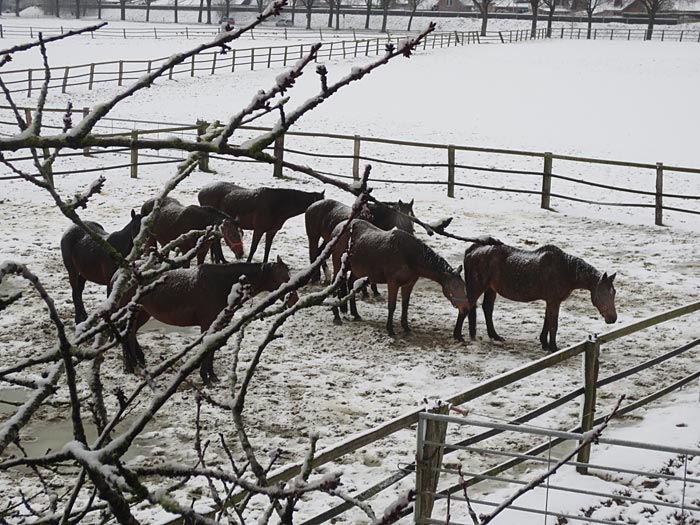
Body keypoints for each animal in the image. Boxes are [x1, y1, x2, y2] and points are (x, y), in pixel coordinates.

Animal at [122, 256, 298, 384]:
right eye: (284, 277)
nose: (295, 300)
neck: (222, 285)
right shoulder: (208, 324)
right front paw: (205, 378)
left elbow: (211, 350)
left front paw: (211, 376)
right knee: (127, 336)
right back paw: (132, 367)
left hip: (142, 313)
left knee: (131, 335)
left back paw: (135, 364)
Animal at [330, 219, 469, 336]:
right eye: (454, 287)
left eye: (463, 286)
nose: (465, 308)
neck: (407, 255)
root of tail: (338, 227)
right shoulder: (393, 283)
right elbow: (392, 306)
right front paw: (390, 330)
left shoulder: (409, 284)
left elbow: (405, 305)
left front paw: (406, 327)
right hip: (339, 265)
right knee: (334, 285)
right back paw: (336, 316)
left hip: (356, 270)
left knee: (350, 285)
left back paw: (355, 314)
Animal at [453, 243, 618, 351]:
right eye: (603, 293)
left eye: (614, 292)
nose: (613, 318)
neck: (565, 270)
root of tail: (472, 250)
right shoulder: (554, 301)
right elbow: (553, 324)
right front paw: (553, 348)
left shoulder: (550, 301)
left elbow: (547, 321)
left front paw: (544, 343)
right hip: (477, 288)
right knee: (466, 308)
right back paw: (458, 336)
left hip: (490, 289)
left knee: (487, 309)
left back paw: (495, 336)